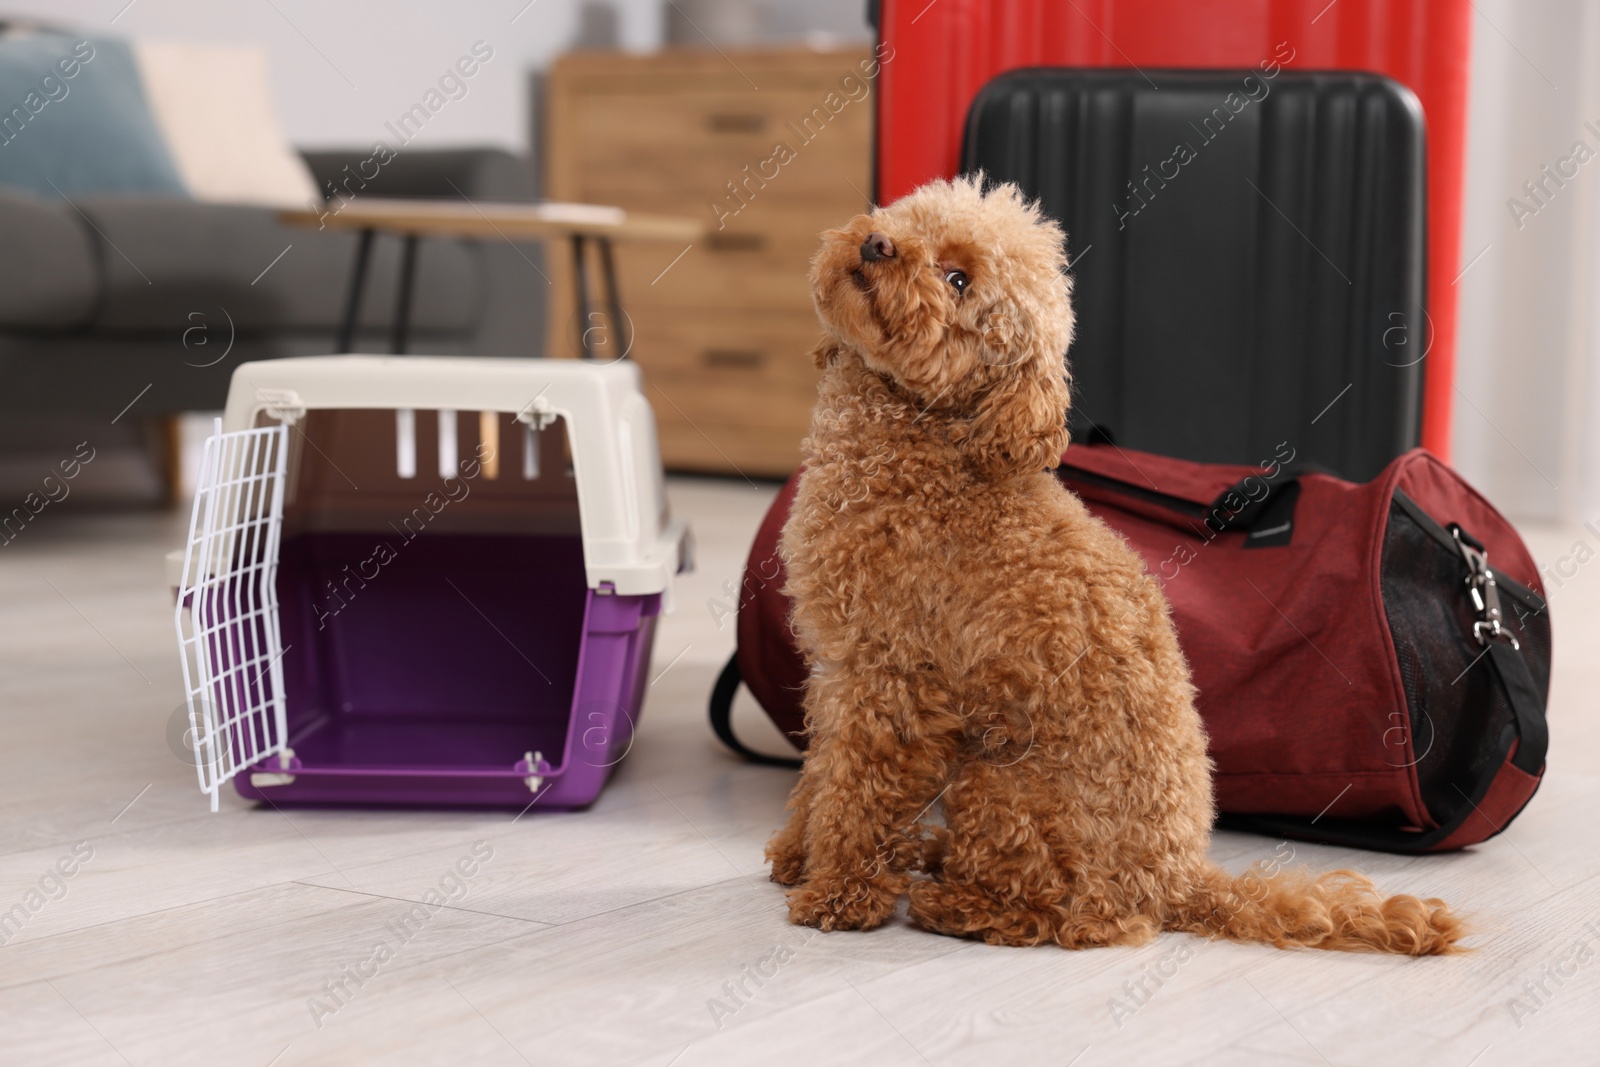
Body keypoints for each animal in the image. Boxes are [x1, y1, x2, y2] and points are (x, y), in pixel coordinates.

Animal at [768, 179, 1465, 953]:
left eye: (958, 281)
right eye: (906, 216)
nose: (877, 243)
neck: (919, 447)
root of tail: (1179, 879)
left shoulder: (893, 680)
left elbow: (862, 796)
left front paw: (837, 893)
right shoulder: (838, 671)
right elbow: (821, 774)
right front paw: (798, 854)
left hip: (1000, 786)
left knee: (1066, 914)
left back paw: (954, 902)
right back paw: (934, 858)